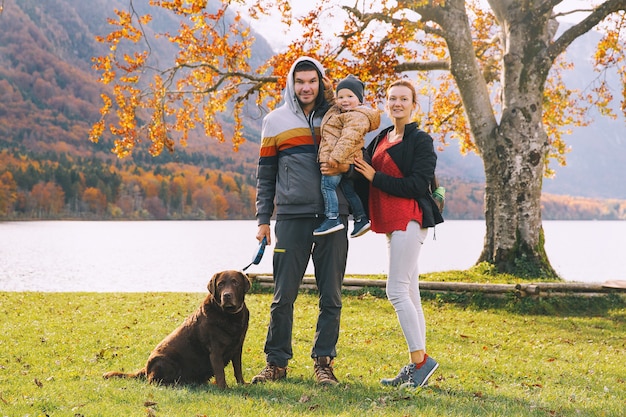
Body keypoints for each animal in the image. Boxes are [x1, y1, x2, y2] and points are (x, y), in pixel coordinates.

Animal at [102, 270, 249, 386]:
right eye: (220, 284)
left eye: (235, 282)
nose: (227, 295)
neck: (230, 316)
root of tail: (146, 368)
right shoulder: (215, 350)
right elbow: (220, 373)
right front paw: (224, 389)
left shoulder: (238, 348)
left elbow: (238, 368)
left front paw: (242, 384)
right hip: (165, 361)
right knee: (155, 381)